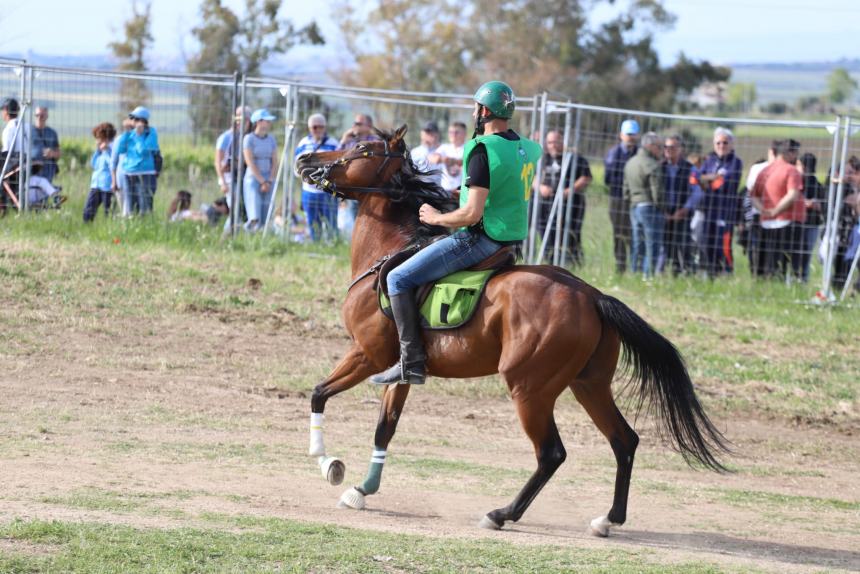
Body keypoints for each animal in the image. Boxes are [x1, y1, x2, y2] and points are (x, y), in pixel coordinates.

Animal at [292, 126, 728, 540]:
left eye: (361, 148)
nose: (305, 158)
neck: (387, 253)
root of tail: (591, 296)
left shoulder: (366, 355)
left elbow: (318, 394)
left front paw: (327, 462)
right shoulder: (399, 371)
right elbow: (385, 427)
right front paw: (362, 489)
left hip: (530, 390)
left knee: (552, 453)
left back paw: (502, 514)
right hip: (589, 385)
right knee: (624, 441)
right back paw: (607, 520)